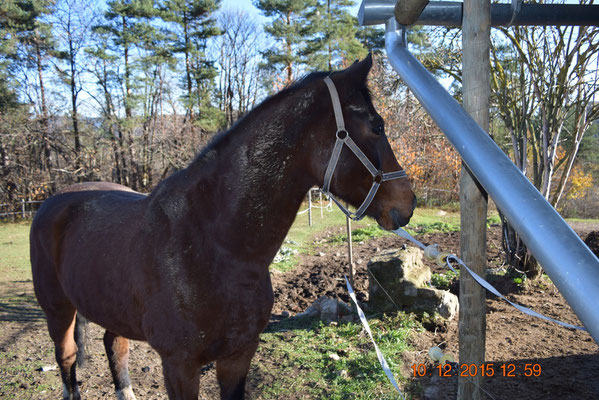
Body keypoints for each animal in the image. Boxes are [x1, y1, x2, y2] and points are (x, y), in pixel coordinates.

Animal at [30, 54, 414, 400]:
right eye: (377, 127)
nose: (407, 201)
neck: (214, 246)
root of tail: (53, 201)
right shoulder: (179, 365)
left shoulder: (238, 357)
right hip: (57, 310)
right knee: (67, 359)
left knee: (115, 346)